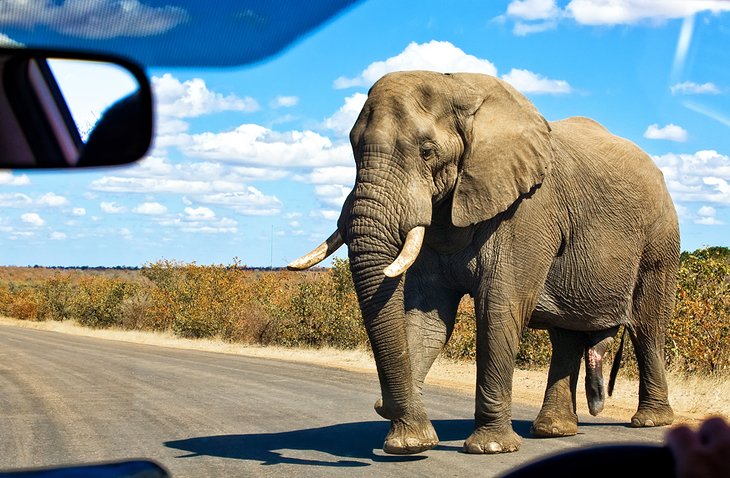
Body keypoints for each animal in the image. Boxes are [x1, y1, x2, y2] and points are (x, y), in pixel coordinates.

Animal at [286, 70, 676, 456]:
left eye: (427, 151)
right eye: (353, 150)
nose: (381, 405)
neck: (460, 87)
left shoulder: (527, 211)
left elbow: (499, 309)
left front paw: (490, 447)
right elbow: (427, 317)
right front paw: (409, 443)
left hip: (660, 238)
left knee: (648, 326)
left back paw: (649, 421)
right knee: (565, 335)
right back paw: (553, 430)